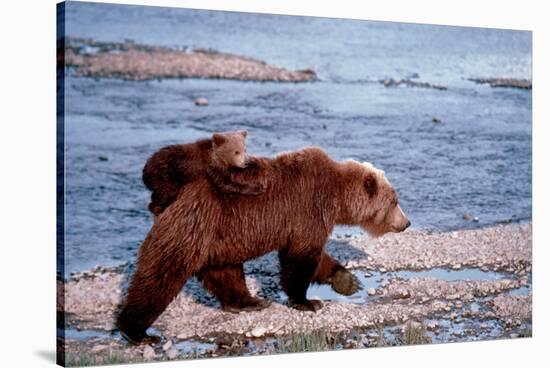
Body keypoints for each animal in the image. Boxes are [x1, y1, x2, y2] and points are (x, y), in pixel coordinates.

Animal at [117, 148, 410, 344]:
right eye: (394, 200)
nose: (406, 222)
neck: (337, 197)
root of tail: (169, 195)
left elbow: (317, 257)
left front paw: (348, 281)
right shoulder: (308, 208)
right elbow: (301, 258)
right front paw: (308, 302)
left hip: (218, 239)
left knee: (225, 272)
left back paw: (249, 301)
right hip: (193, 227)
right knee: (160, 275)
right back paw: (136, 331)